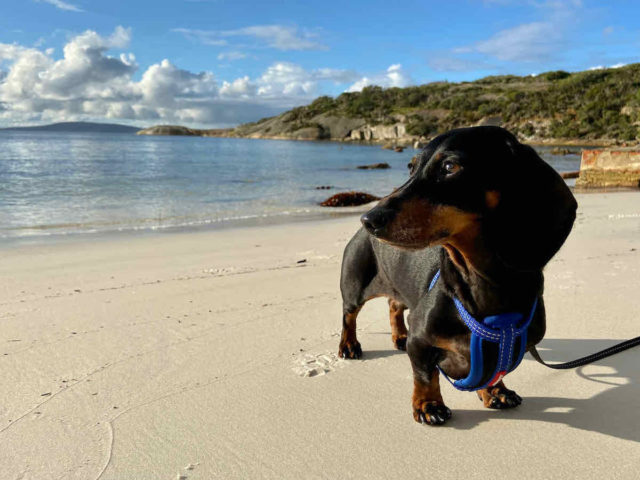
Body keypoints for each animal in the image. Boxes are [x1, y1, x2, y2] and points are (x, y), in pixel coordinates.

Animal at [338, 126, 576, 424]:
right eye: (411, 167)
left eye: (450, 167)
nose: (369, 219)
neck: (485, 283)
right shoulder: (420, 340)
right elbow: (424, 375)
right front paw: (428, 405)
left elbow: (492, 371)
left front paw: (496, 391)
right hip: (354, 287)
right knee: (349, 316)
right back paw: (349, 345)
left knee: (394, 305)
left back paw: (399, 336)